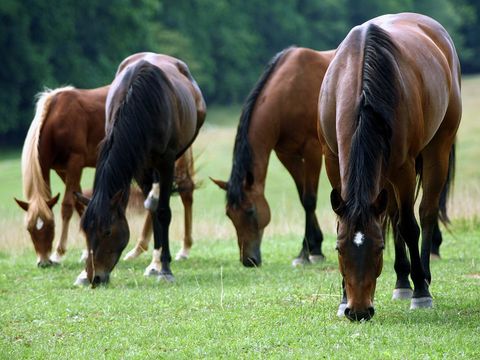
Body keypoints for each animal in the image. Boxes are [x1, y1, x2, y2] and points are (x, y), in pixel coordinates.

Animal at [14, 85, 197, 268]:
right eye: (29, 229)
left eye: (51, 226)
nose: (43, 261)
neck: (56, 119)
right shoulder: (62, 170)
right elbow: (80, 204)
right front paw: (86, 251)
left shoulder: (75, 163)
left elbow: (67, 206)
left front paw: (59, 254)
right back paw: (139, 249)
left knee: (185, 191)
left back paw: (183, 249)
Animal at [79, 52, 206, 286]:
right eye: (85, 231)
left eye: (108, 232)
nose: (95, 278)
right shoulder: (138, 165)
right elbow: (153, 209)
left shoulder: (166, 161)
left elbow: (163, 212)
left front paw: (165, 269)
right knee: (152, 204)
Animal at [213, 46, 334, 268]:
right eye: (229, 214)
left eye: (250, 211)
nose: (248, 260)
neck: (289, 94)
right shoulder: (287, 155)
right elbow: (302, 197)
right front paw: (314, 247)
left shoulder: (312, 151)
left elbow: (309, 200)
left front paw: (307, 253)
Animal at [318, 12, 462, 320]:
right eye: (339, 248)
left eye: (378, 248)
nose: (359, 311)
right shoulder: (332, 160)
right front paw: (342, 298)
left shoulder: (404, 168)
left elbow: (409, 226)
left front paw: (421, 292)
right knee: (393, 214)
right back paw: (401, 281)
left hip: (437, 150)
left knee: (426, 213)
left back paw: (422, 278)